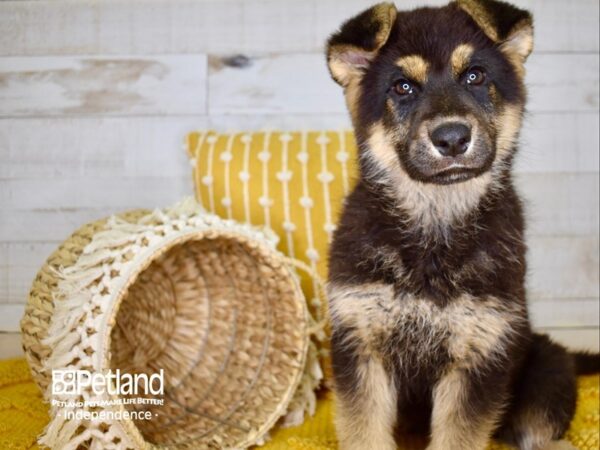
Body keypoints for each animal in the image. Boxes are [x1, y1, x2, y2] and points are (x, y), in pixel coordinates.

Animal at [326, 1, 600, 448]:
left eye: (475, 76)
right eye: (402, 87)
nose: (452, 138)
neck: (434, 227)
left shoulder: (479, 351)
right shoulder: (360, 343)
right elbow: (365, 433)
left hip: (548, 369)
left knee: (539, 433)